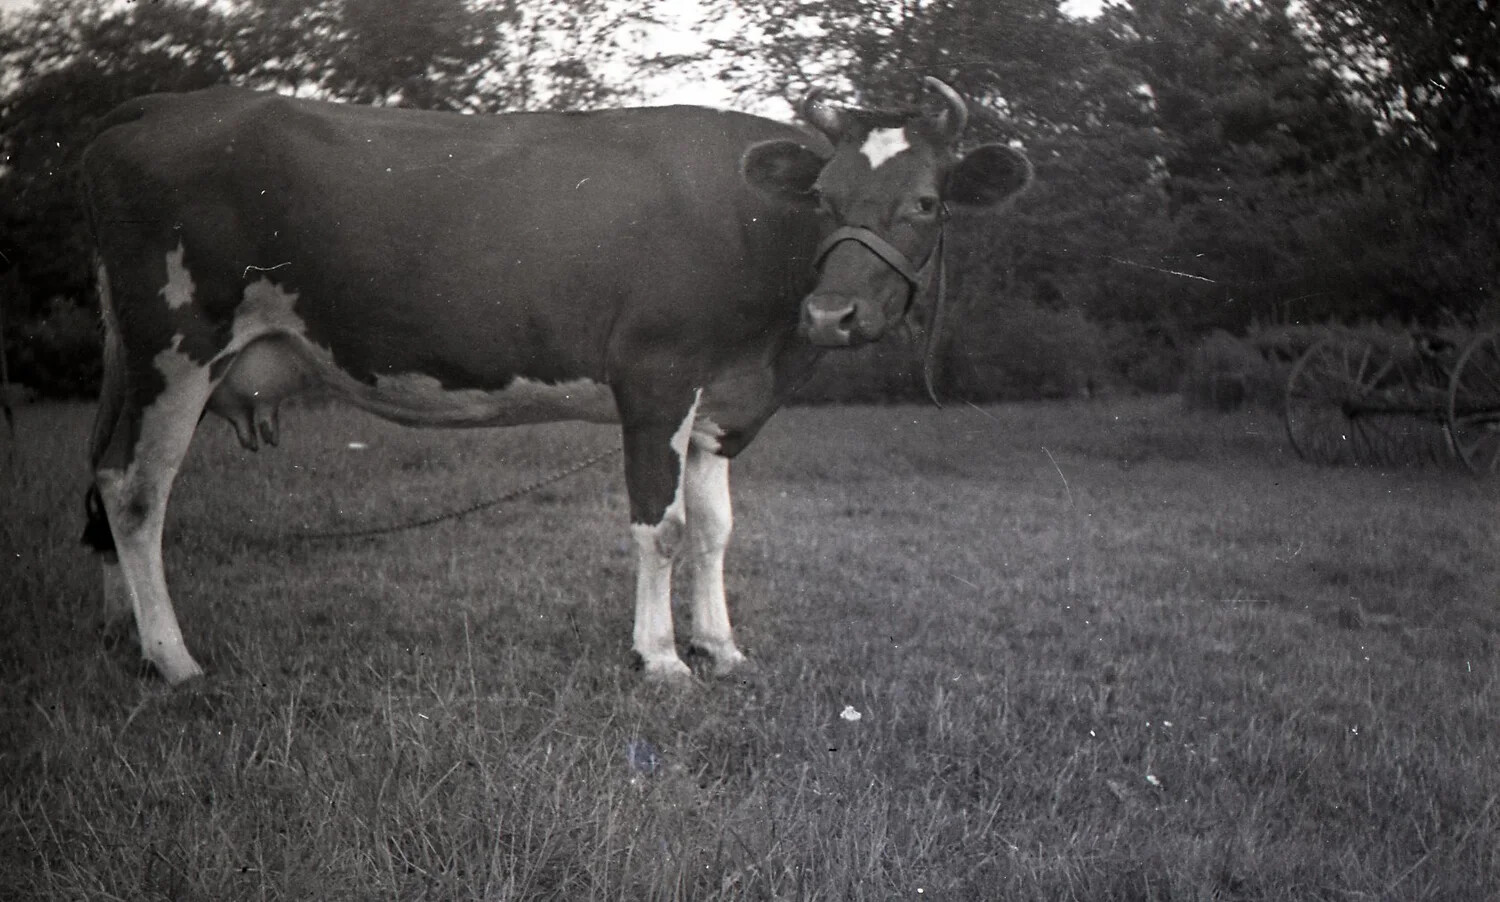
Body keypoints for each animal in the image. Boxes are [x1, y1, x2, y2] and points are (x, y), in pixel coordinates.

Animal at [80, 78, 1032, 684]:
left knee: (100, 475)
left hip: (136, 355)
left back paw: (122, 632)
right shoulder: (656, 378)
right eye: (826, 200)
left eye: (925, 203)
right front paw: (661, 659)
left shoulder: (719, 403)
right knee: (136, 491)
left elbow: (717, 529)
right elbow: (663, 527)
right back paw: (173, 658)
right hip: (178, 341)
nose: (833, 314)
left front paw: (721, 648)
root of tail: (158, 104)